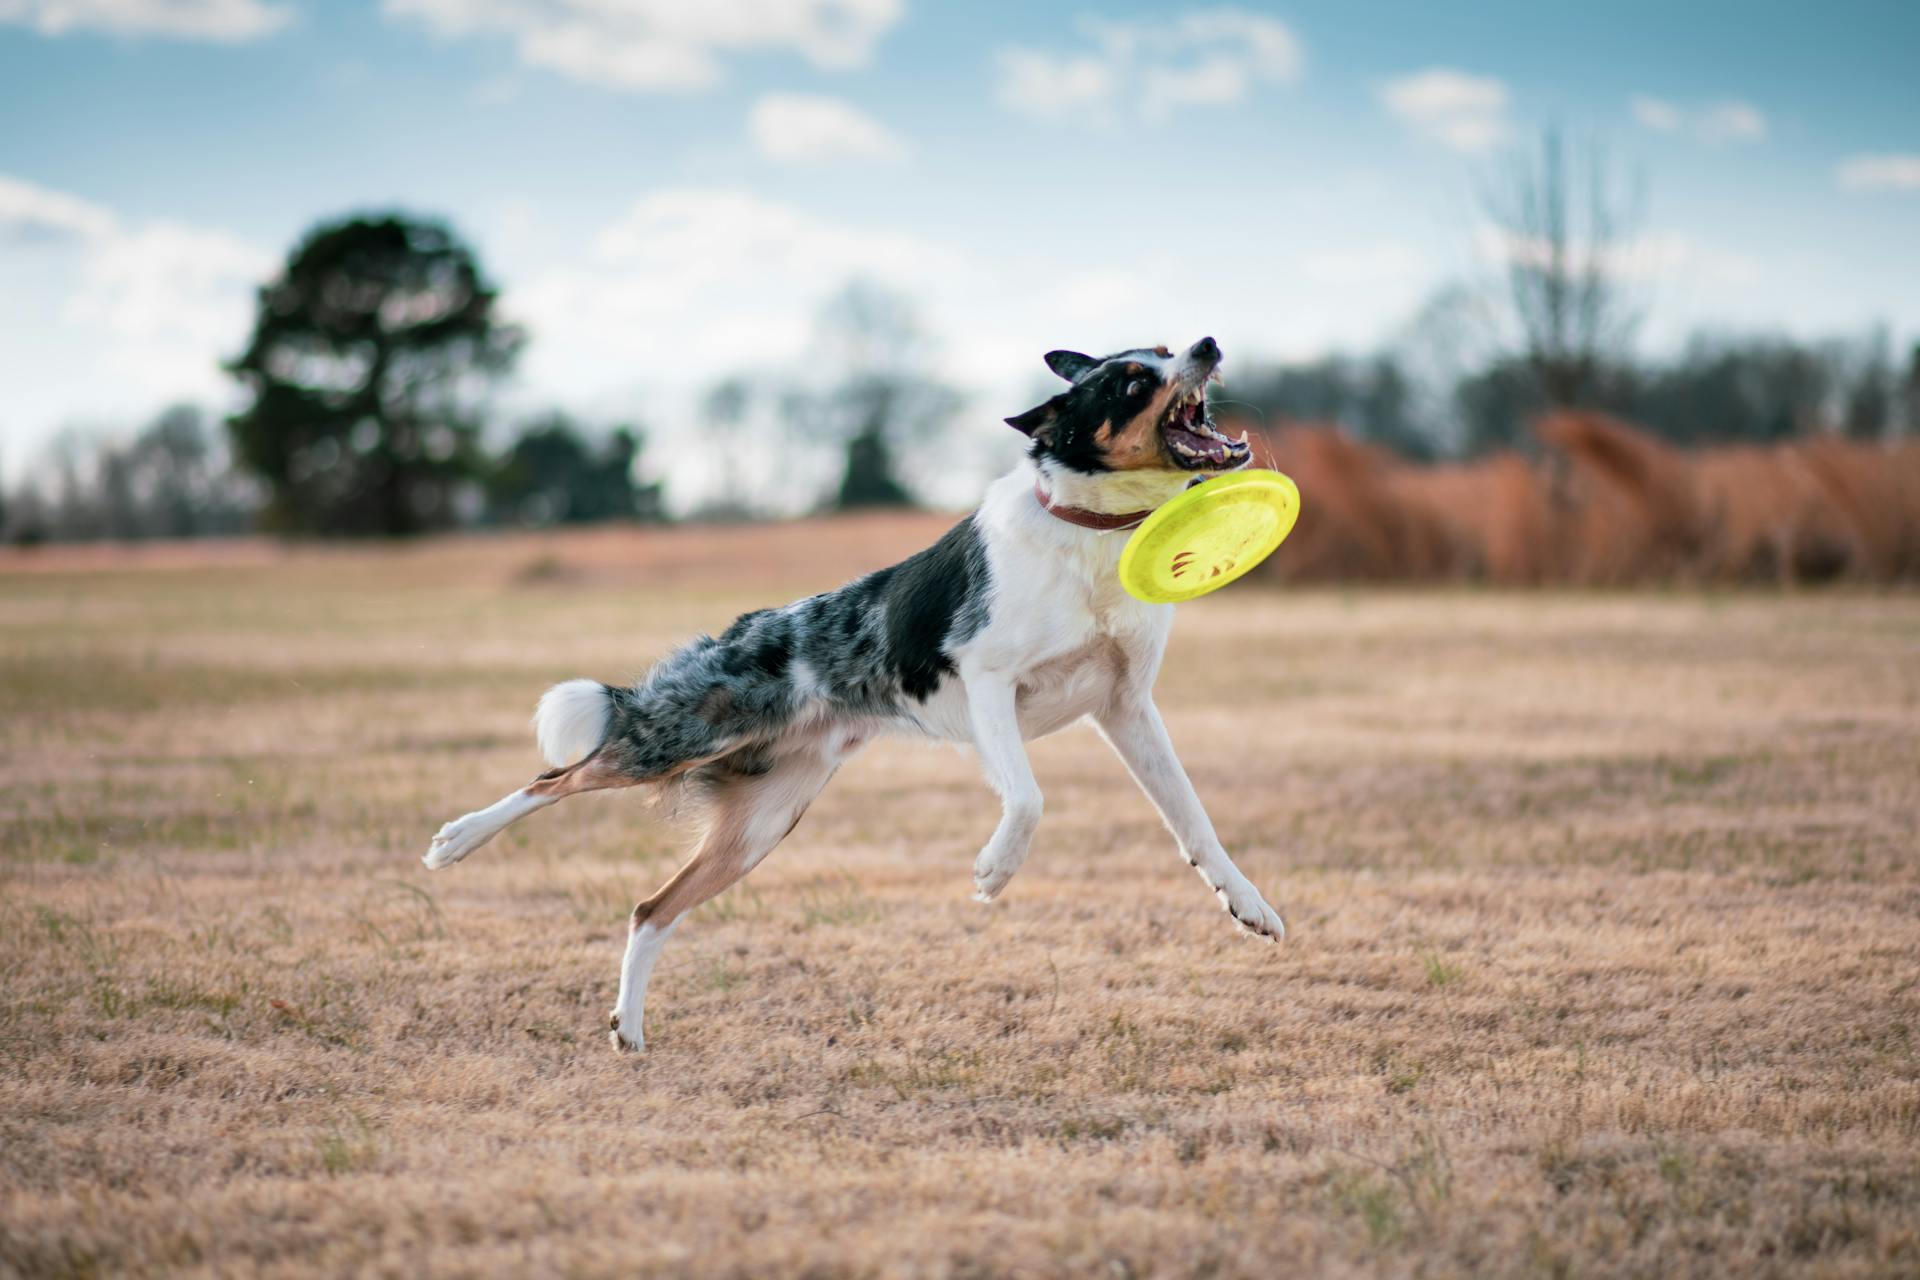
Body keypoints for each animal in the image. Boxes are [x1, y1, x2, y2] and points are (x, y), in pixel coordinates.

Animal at [428, 333, 1282, 1051]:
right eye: (1134, 378)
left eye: (1168, 347)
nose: (1209, 344)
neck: (1090, 531)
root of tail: (737, 633)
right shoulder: (987, 680)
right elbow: (1029, 799)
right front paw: (994, 872)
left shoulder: (1127, 707)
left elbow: (1194, 820)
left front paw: (1247, 904)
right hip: (682, 736)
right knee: (557, 777)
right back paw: (457, 840)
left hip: (762, 824)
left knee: (650, 910)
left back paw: (629, 1028)